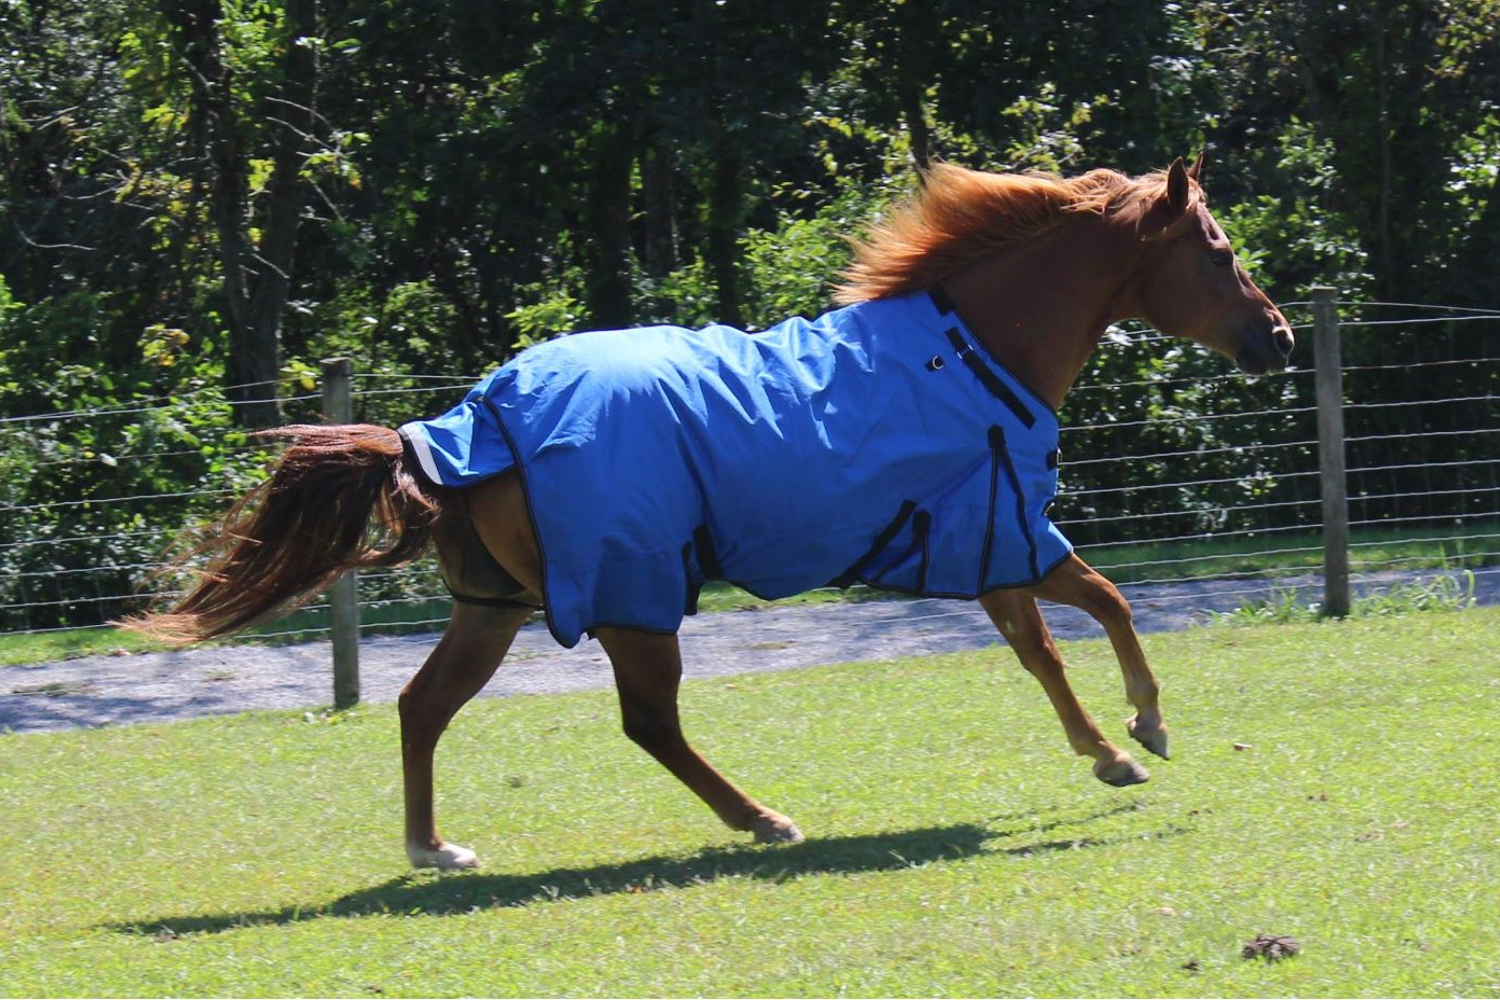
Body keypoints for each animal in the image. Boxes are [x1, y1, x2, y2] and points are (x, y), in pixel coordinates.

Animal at [127, 155, 1293, 871]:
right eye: (1221, 252)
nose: (1276, 335)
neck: (968, 349)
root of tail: (458, 422)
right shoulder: (999, 532)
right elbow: (1102, 608)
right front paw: (1141, 731)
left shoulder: (984, 542)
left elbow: (1050, 643)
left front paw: (1113, 748)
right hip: (634, 600)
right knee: (648, 724)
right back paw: (763, 818)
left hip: (494, 605)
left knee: (423, 707)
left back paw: (435, 847)